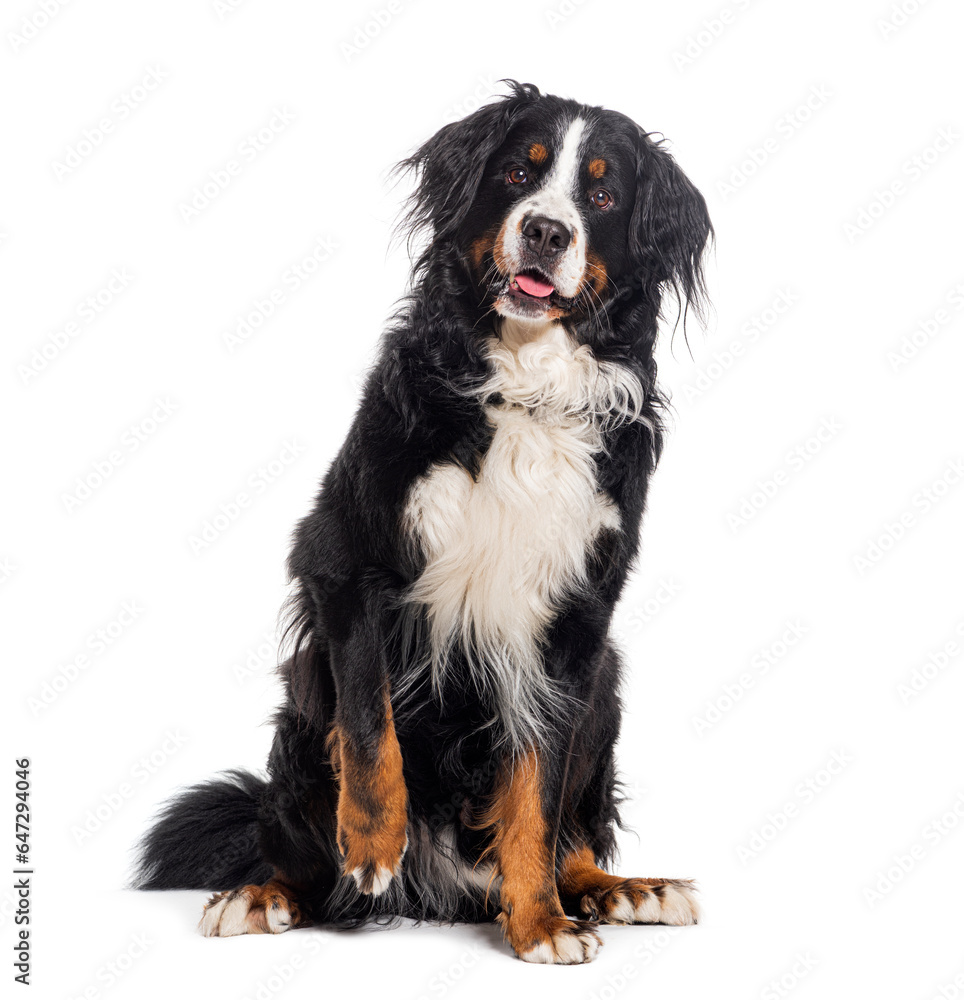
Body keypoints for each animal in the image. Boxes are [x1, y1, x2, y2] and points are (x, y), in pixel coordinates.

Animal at [134, 82, 708, 964]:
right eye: (518, 172)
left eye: (604, 196)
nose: (546, 231)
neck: (526, 386)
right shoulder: (346, 562)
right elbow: (372, 730)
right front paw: (373, 846)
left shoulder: (575, 624)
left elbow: (537, 794)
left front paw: (540, 922)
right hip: (303, 688)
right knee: (293, 843)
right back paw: (266, 893)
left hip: (607, 679)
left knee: (572, 834)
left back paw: (621, 888)